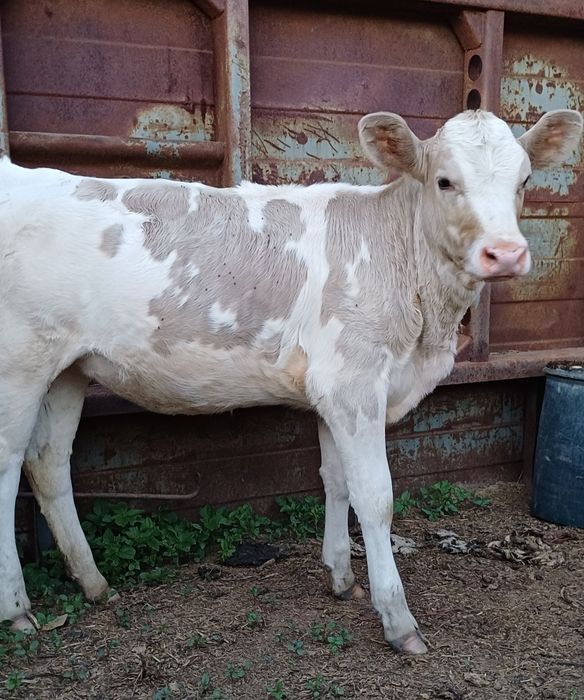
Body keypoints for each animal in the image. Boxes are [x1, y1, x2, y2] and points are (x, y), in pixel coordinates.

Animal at [0, 108, 581, 654]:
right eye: (444, 181)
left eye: (525, 179)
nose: (506, 253)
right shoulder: (354, 381)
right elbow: (375, 496)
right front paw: (398, 620)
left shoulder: (332, 392)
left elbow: (336, 479)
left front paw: (341, 578)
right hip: (20, 363)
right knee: (8, 467)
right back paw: (18, 610)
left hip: (68, 369)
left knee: (48, 463)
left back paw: (94, 583)